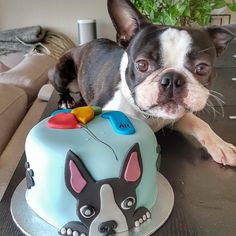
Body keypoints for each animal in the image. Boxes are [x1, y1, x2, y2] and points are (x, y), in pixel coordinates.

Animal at [51, 0, 236, 167]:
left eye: (202, 68)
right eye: (142, 65)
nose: (172, 79)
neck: (148, 115)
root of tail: (83, 44)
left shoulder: (178, 116)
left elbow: (200, 123)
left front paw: (221, 145)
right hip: (60, 72)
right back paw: (66, 100)